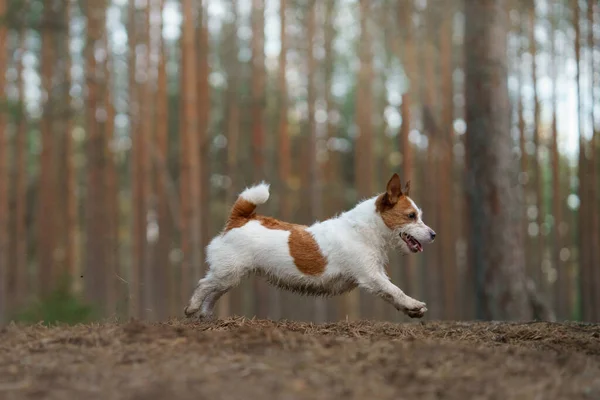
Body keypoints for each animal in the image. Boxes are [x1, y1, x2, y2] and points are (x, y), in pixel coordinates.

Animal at [184, 173, 436, 320]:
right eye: (411, 216)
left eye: (419, 215)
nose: (434, 235)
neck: (365, 229)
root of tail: (241, 219)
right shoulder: (371, 276)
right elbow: (394, 290)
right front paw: (412, 303)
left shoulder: (375, 275)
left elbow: (390, 294)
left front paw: (411, 310)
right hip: (227, 272)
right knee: (204, 285)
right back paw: (192, 308)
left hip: (230, 276)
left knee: (213, 293)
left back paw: (206, 315)